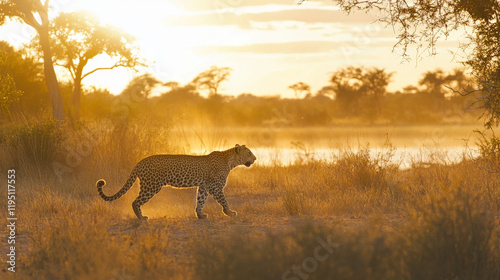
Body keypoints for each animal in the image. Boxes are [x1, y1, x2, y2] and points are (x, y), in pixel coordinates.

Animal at [95, 145, 256, 220]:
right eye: (248, 153)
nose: (255, 158)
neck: (231, 162)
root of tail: (139, 162)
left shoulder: (204, 186)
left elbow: (200, 201)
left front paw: (200, 215)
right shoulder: (215, 187)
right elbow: (224, 200)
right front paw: (230, 212)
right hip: (151, 186)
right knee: (135, 202)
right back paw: (142, 218)